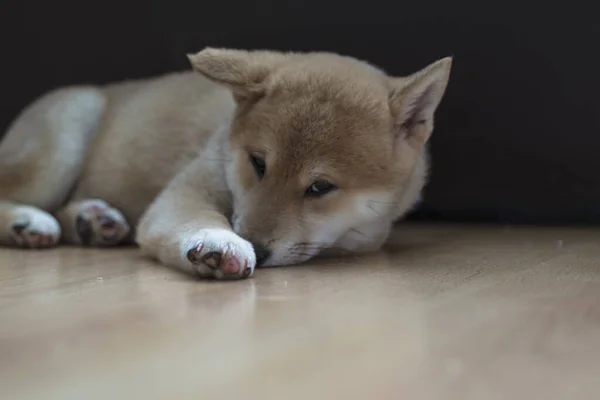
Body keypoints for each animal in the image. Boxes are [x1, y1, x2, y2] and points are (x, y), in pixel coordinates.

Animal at [0, 48, 450, 280]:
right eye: (258, 163)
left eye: (320, 187)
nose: (259, 249)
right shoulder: (187, 190)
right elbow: (194, 217)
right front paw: (218, 241)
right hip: (65, 134)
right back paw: (29, 222)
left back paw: (92, 220)